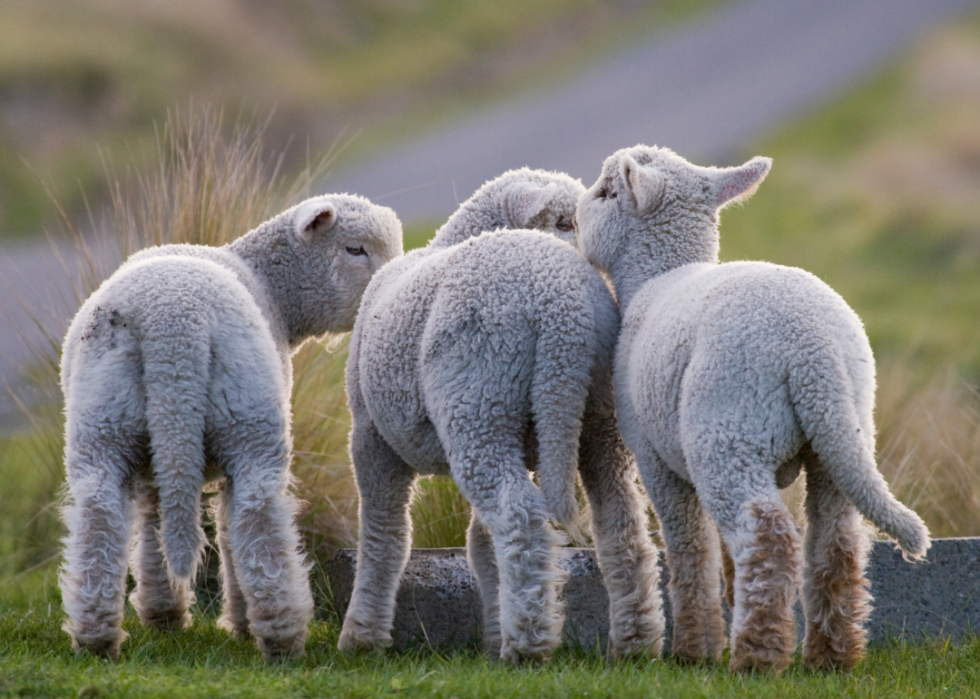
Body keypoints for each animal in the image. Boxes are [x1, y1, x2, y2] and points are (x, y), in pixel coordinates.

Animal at [58, 193, 402, 660]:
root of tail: (173, 325)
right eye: (355, 249)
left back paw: (95, 636)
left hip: (106, 421)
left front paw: (164, 612)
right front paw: (237, 623)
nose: (389, 290)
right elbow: (224, 529)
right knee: (257, 518)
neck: (273, 290)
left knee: (100, 518)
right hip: (246, 419)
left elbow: (153, 518)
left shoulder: (162, 457)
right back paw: (282, 634)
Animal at [338, 167, 668, 664]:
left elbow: (385, 537)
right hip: (593, 417)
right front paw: (493, 629)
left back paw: (528, 642)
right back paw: (635, 640)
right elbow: (481, 545)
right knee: (621, 520)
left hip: (478, 403)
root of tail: (562, 310)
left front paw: (361, 636)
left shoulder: (372, 436)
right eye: (565, 221)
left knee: (519, 517)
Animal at [580, 145, 932, 676]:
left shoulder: (655, 455)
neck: (656, 276)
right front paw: (725, 595)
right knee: (835, 541)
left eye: (605, 193)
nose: (574, 215)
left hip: (728, 425)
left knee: (767, 536)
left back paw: (756, 655)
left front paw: (695, 650)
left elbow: (689, 545)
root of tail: (812, 346)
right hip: (838, 432)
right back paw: (831, 656)